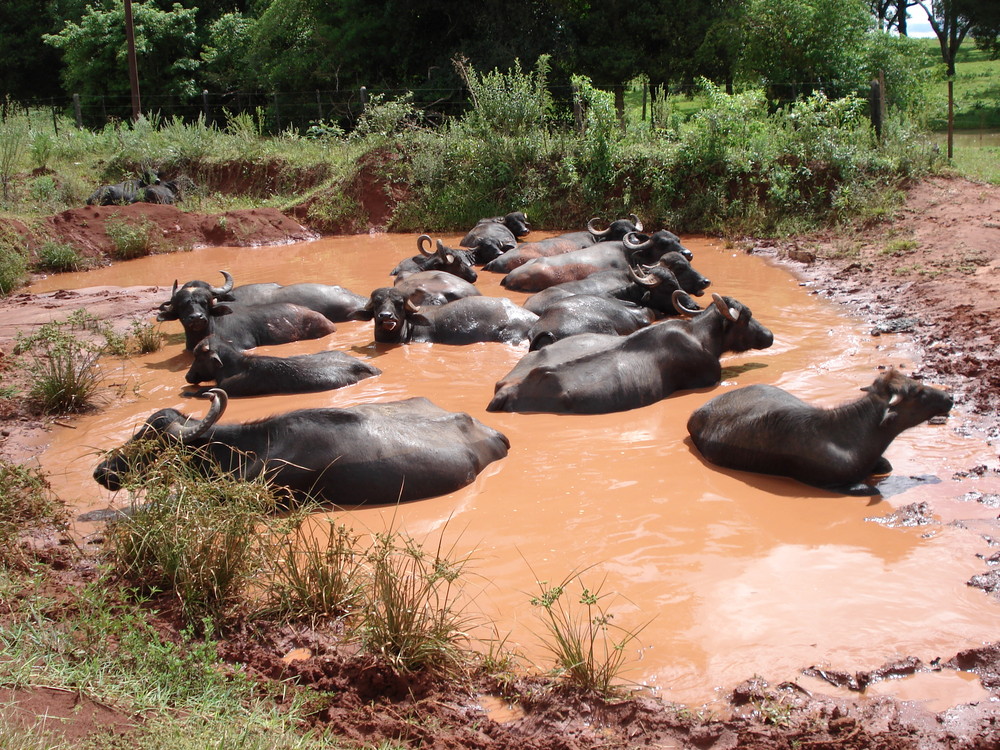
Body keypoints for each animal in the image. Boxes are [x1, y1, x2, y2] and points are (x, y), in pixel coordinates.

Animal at [688, 370, 952, 500]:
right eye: (917, 391)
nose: (949, 397)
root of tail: (698, 411)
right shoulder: (827, 482)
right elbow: (870, 488)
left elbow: (886, 465)